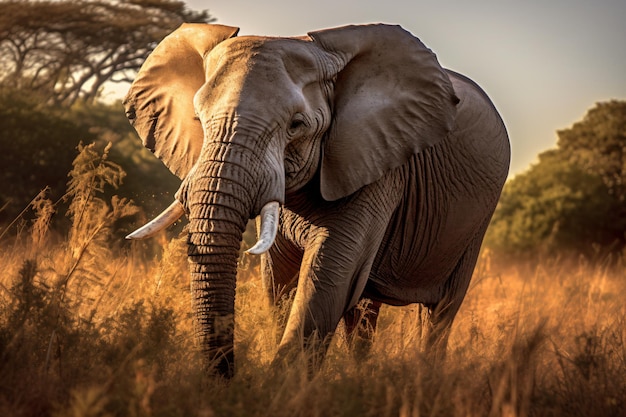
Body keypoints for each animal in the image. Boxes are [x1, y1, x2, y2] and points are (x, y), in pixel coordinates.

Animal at [122, 22, 508, 376]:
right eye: (198, 119)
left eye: (296, 125)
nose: (227, 375)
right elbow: (278, 279)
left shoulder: (376, 164)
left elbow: (327, 280)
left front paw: (277, 385)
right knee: (363, 310)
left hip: (475, 223)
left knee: (439, 313)